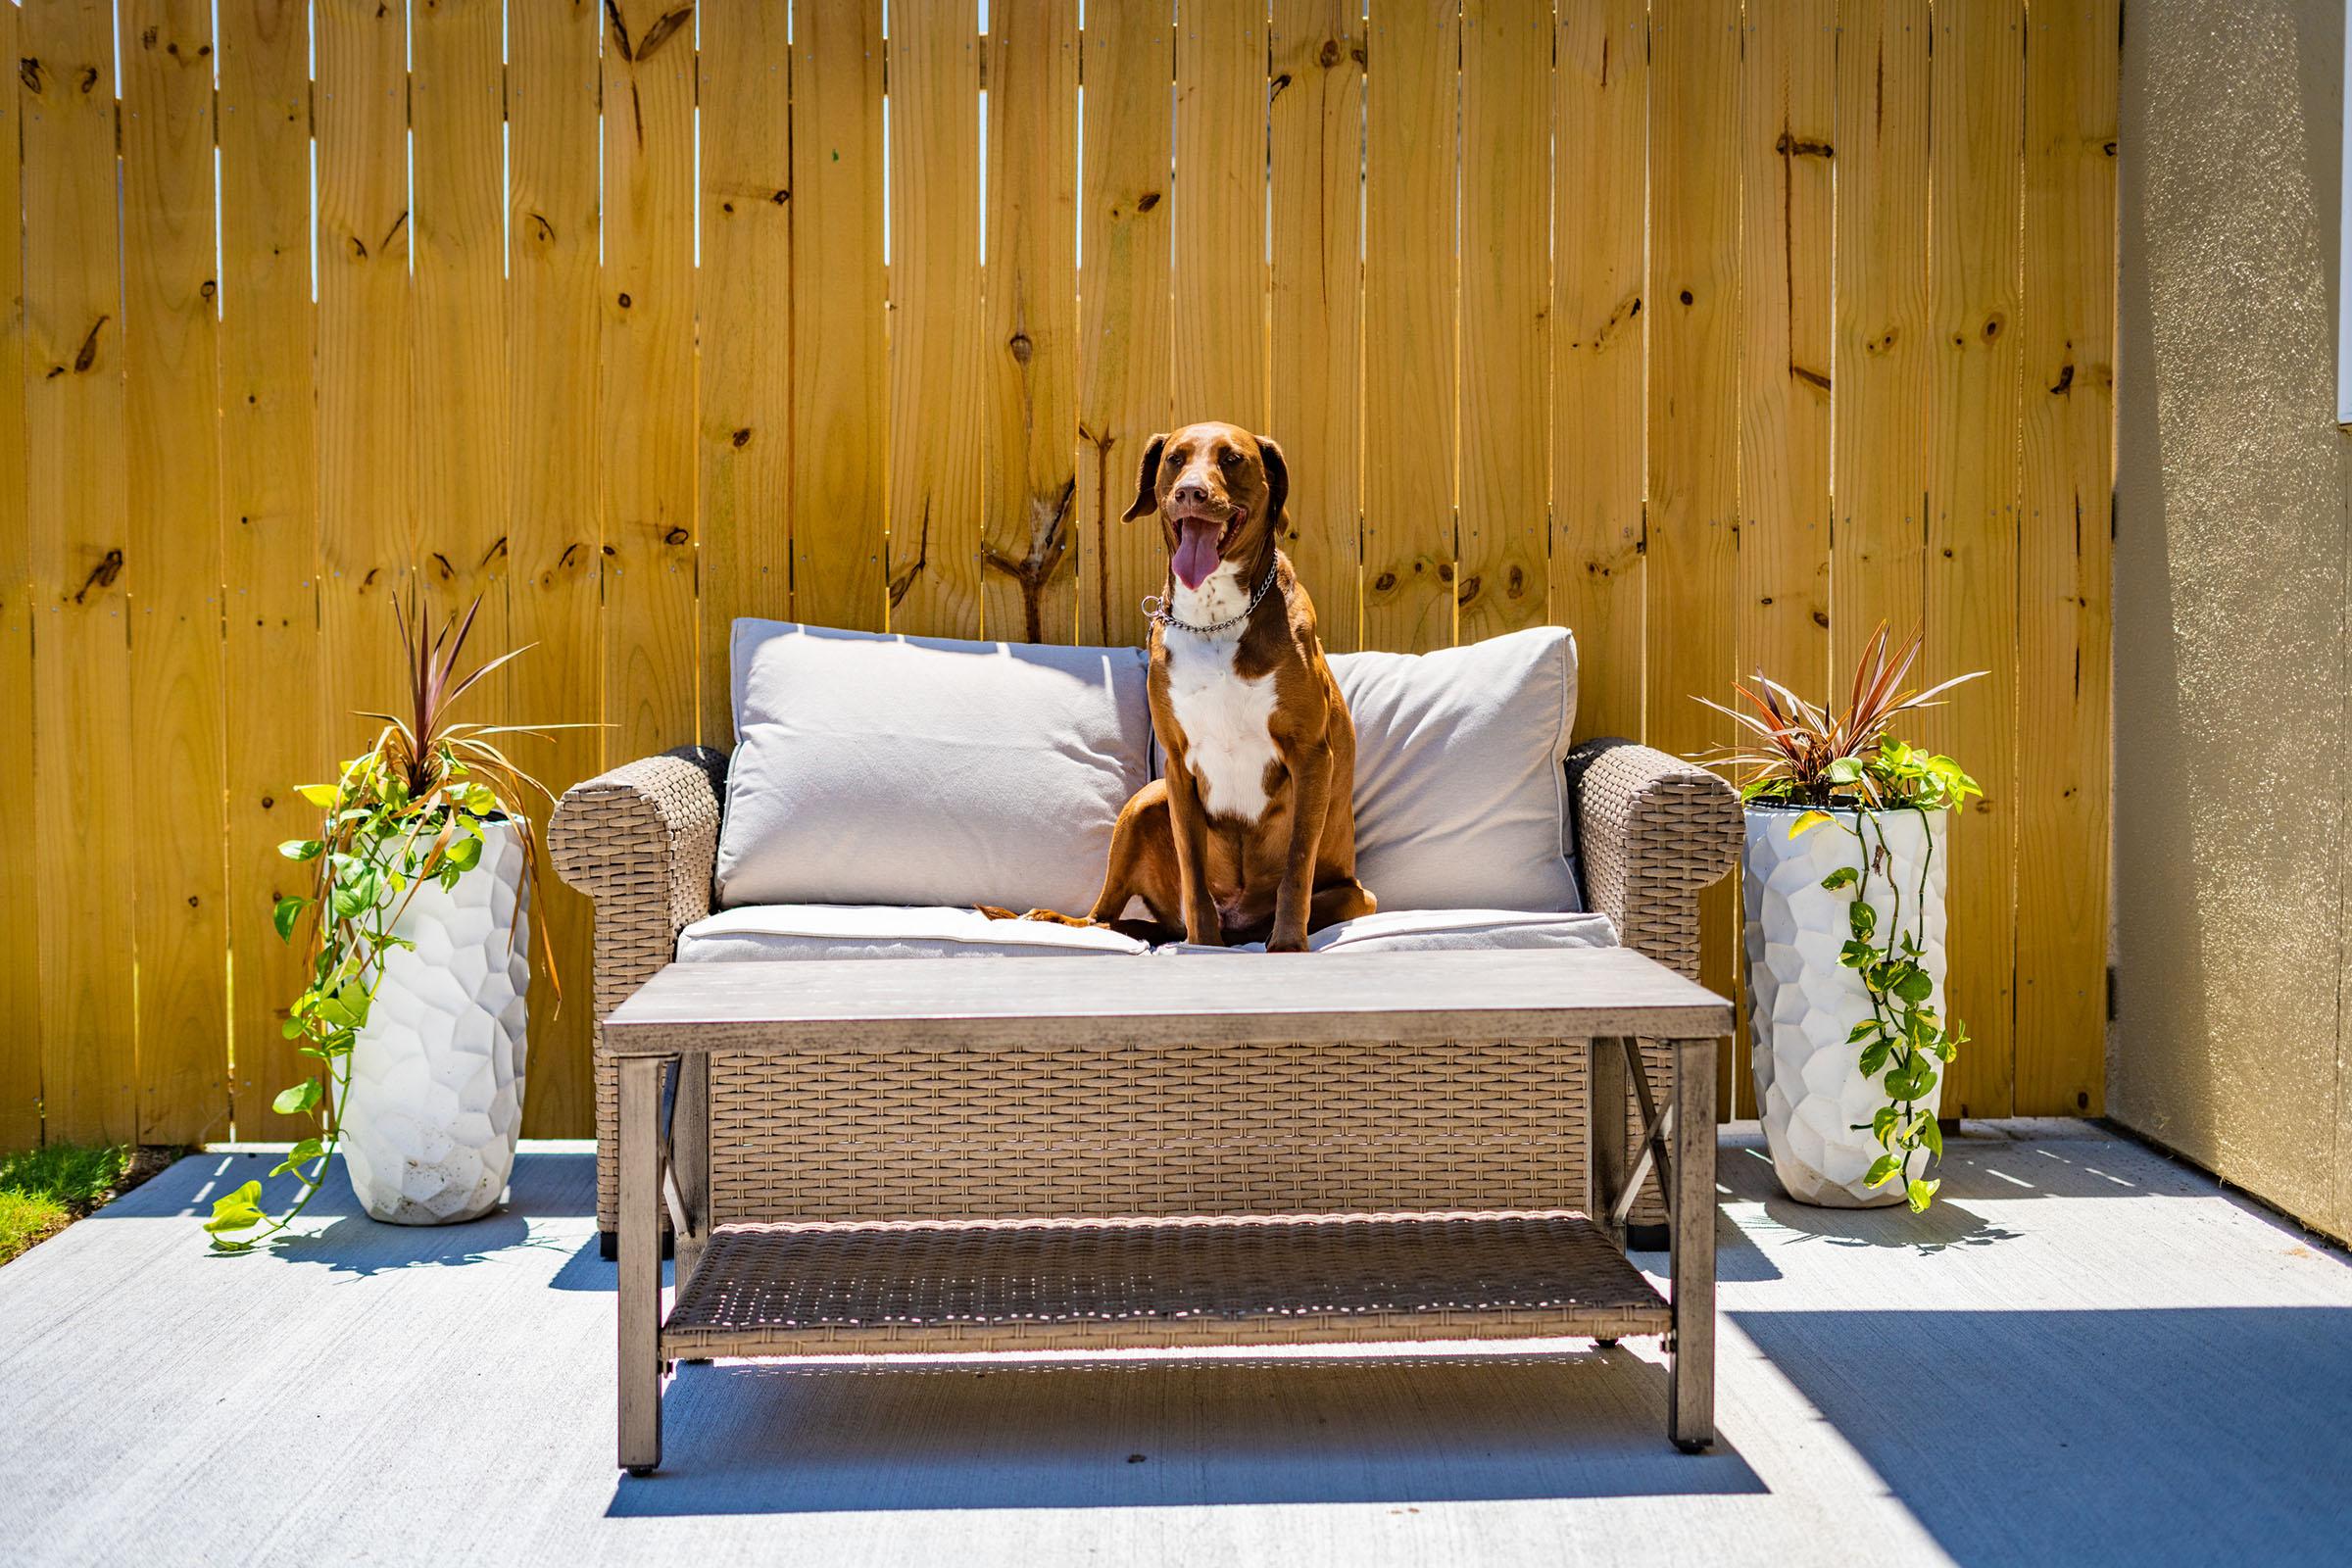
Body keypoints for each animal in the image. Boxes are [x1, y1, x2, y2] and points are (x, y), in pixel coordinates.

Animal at [992, 422, 1373, 950]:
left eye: (1232, 459)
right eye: (1176, 458)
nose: (1191, 491)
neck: (1214, 619)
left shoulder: (1311, 753)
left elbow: (1297, 864)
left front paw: (1287, 946)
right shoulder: (1176, 764)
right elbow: (1193, 865)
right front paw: (1201, 947)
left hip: (1359, 896)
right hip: (1145, 801)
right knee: (1102, 914)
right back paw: (1059, 920)